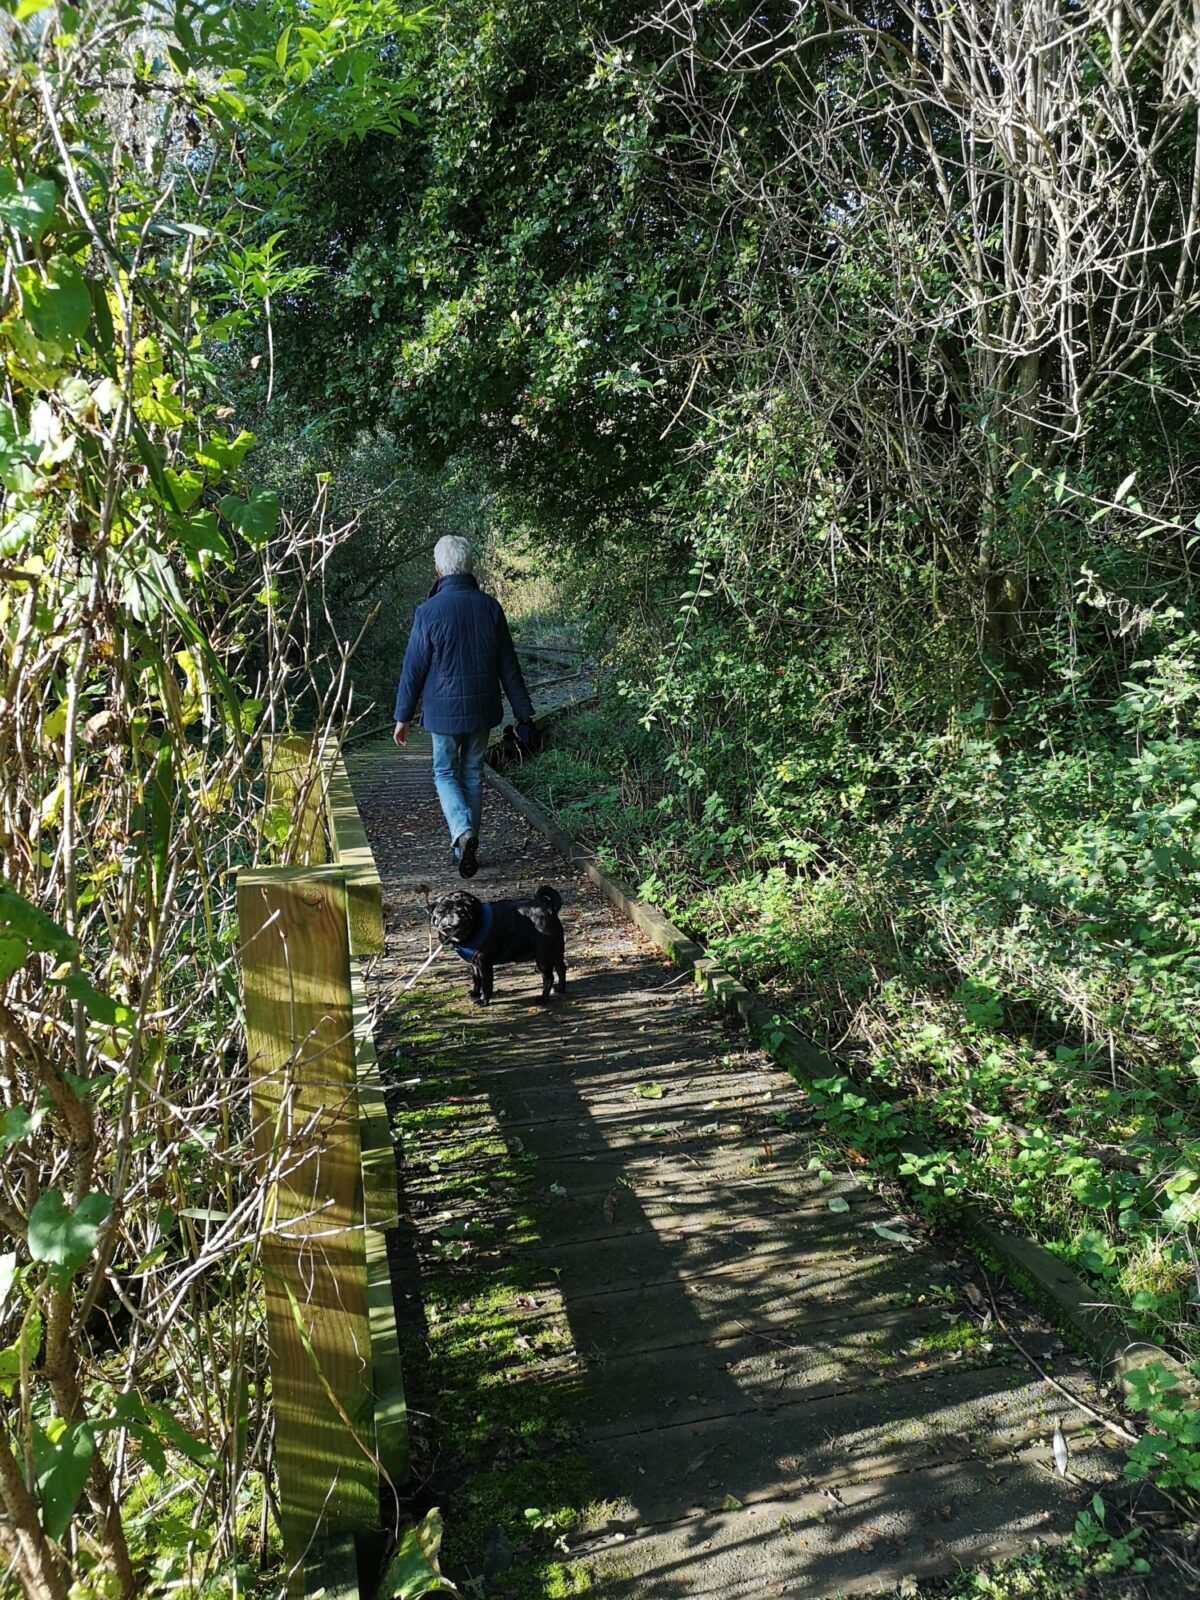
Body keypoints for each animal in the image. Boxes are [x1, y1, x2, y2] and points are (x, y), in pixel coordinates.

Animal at [432, 883, 569, 1004]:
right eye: (440, 912)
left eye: (462, 911)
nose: (450, 916)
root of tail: (548, 908)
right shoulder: (474, 964)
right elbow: (476, 979)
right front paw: (475, 993)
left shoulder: (484, 963)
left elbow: (486, 984)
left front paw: (483, 1001)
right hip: (556, 951)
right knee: (561, 968)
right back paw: (560, 988)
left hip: (543, 957)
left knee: (548, 978)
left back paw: (543, 999)